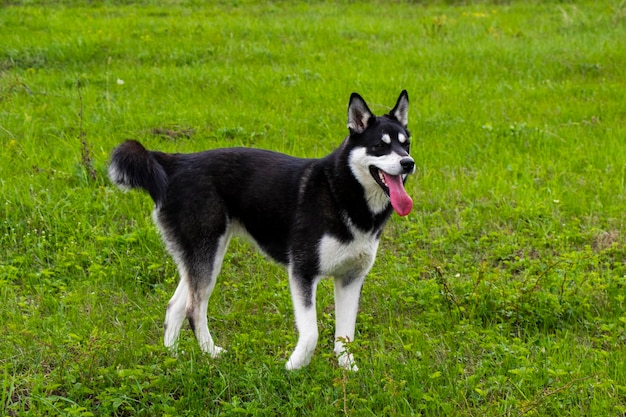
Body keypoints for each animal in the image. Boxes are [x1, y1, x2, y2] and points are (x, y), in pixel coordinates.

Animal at [108, 91, 414, 370]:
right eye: (380, 146)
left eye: (406, 144)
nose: (408, 163)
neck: (342, 192)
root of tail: (175, 162)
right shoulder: (302, 272)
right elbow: (312, 333)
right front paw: (293, 368)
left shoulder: (351, 278)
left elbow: (345, 335)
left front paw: (348, 370)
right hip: (207, 252)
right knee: (194, 309)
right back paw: (210, 354)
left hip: (204, 255)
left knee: (176, 305)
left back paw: (174, 357)